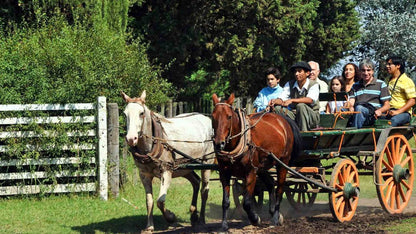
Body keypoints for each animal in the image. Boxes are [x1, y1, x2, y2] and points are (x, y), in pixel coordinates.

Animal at [121, 90, 214, 231]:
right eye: (125, 114)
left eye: (141, 113)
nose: (131, 138)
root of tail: (206, 119)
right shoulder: (144, 175)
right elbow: (149, 201)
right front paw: (149, 226)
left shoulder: (166, 171)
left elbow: (160, 201)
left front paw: (171, 217)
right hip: (184, 168)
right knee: (196, 182)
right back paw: (193, 215)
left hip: (206, 163)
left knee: (204, 190)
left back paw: (202, 220)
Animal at [213, 93, 300, 230]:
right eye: (213, 116)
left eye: (229, 116)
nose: (219, 143)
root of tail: (282, 119)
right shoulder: (224, 174)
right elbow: (225, 201)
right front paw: (224, 225)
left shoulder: (251, 173)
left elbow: (247, 202)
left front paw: (255, 219)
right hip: (262, 166)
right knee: (270, 183)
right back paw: (273, 212)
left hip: (282, 164)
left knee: (280, 190)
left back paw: (276, 218)